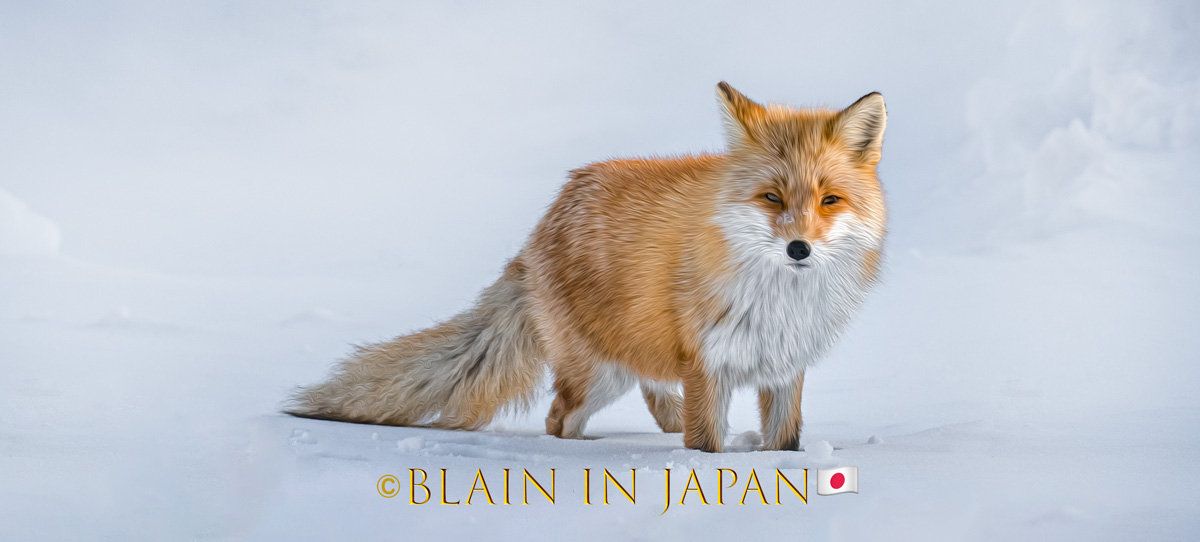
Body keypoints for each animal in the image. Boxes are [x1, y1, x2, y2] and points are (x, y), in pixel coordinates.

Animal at [287, 82, 887, 452]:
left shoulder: (783, 369)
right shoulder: (708, 366)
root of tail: (545, 220)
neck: (780, 301)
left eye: (829, 200)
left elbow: (783, 442)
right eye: (770, 198)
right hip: (597, 376)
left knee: (653, 394)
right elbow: (705, 446)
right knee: (559, 418)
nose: (798, 249)